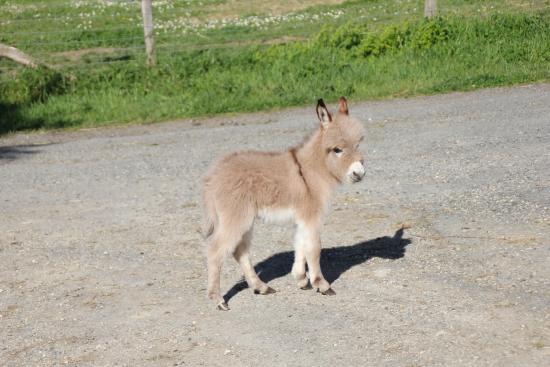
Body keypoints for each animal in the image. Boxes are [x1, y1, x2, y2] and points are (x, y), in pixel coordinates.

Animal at [203, 98, 366, 310]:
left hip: (245, 220)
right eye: (337, 150)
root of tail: (213, 176)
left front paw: (301, 279)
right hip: (236, 218)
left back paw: (261, 287)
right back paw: (218, 299)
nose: (359, 173)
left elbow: (300, 244)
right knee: (215, 251)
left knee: (240, 252)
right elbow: (314, 248)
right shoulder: (312, 216)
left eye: (358, 144)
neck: (312, 169)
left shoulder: (302, 218)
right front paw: (321, 284)